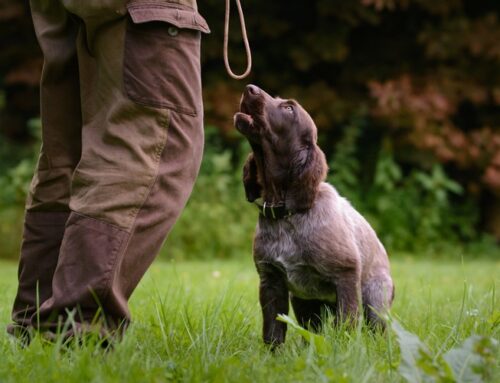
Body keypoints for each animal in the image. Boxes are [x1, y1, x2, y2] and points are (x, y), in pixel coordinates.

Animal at [234, 85, 394, 348]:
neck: (286, 213)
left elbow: (347, 325)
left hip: (374, 301)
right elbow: (273, 329)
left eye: (289, 108)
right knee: (312, 331)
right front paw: (273, 355)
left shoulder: (346, 277)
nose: (250, 88)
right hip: (305, 303)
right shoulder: (271, 281)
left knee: (375, 330)